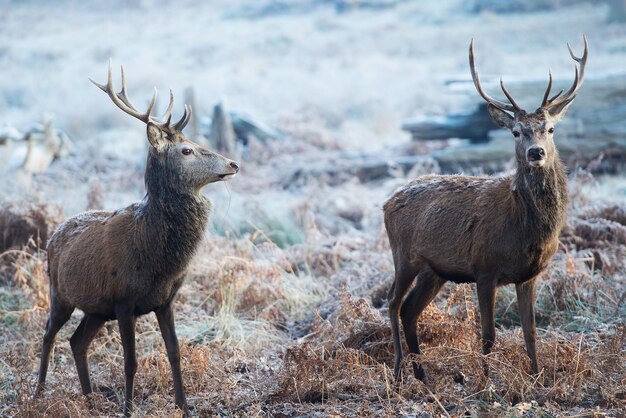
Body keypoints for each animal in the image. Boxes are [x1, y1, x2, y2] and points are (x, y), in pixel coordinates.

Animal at [34, 62, 239, 418]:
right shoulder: (124, 300)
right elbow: (130, 362)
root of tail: (54, 234)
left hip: (96, 309)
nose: (232, 163)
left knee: (77, 342)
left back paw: (89, 400)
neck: (156, 258)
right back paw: (37, 394)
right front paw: (128, 410)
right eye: (186, 149)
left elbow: (174, 351)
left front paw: (184, 406)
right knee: (48, 335)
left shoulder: (165, 300)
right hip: (60, 292)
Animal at [386, 36, 584, 382]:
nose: (536, 152)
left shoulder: (529, 275)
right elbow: (488, 334)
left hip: (434, 270)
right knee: (392, 303)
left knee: (410, 310)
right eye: (516, 131)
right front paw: (486, 382)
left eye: (550, 129)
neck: (526, 227)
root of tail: (386, 203)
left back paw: (422, 375)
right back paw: (398, 371)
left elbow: (531, 332)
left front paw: (538, 378)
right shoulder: (484, 267)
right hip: (404, 256)